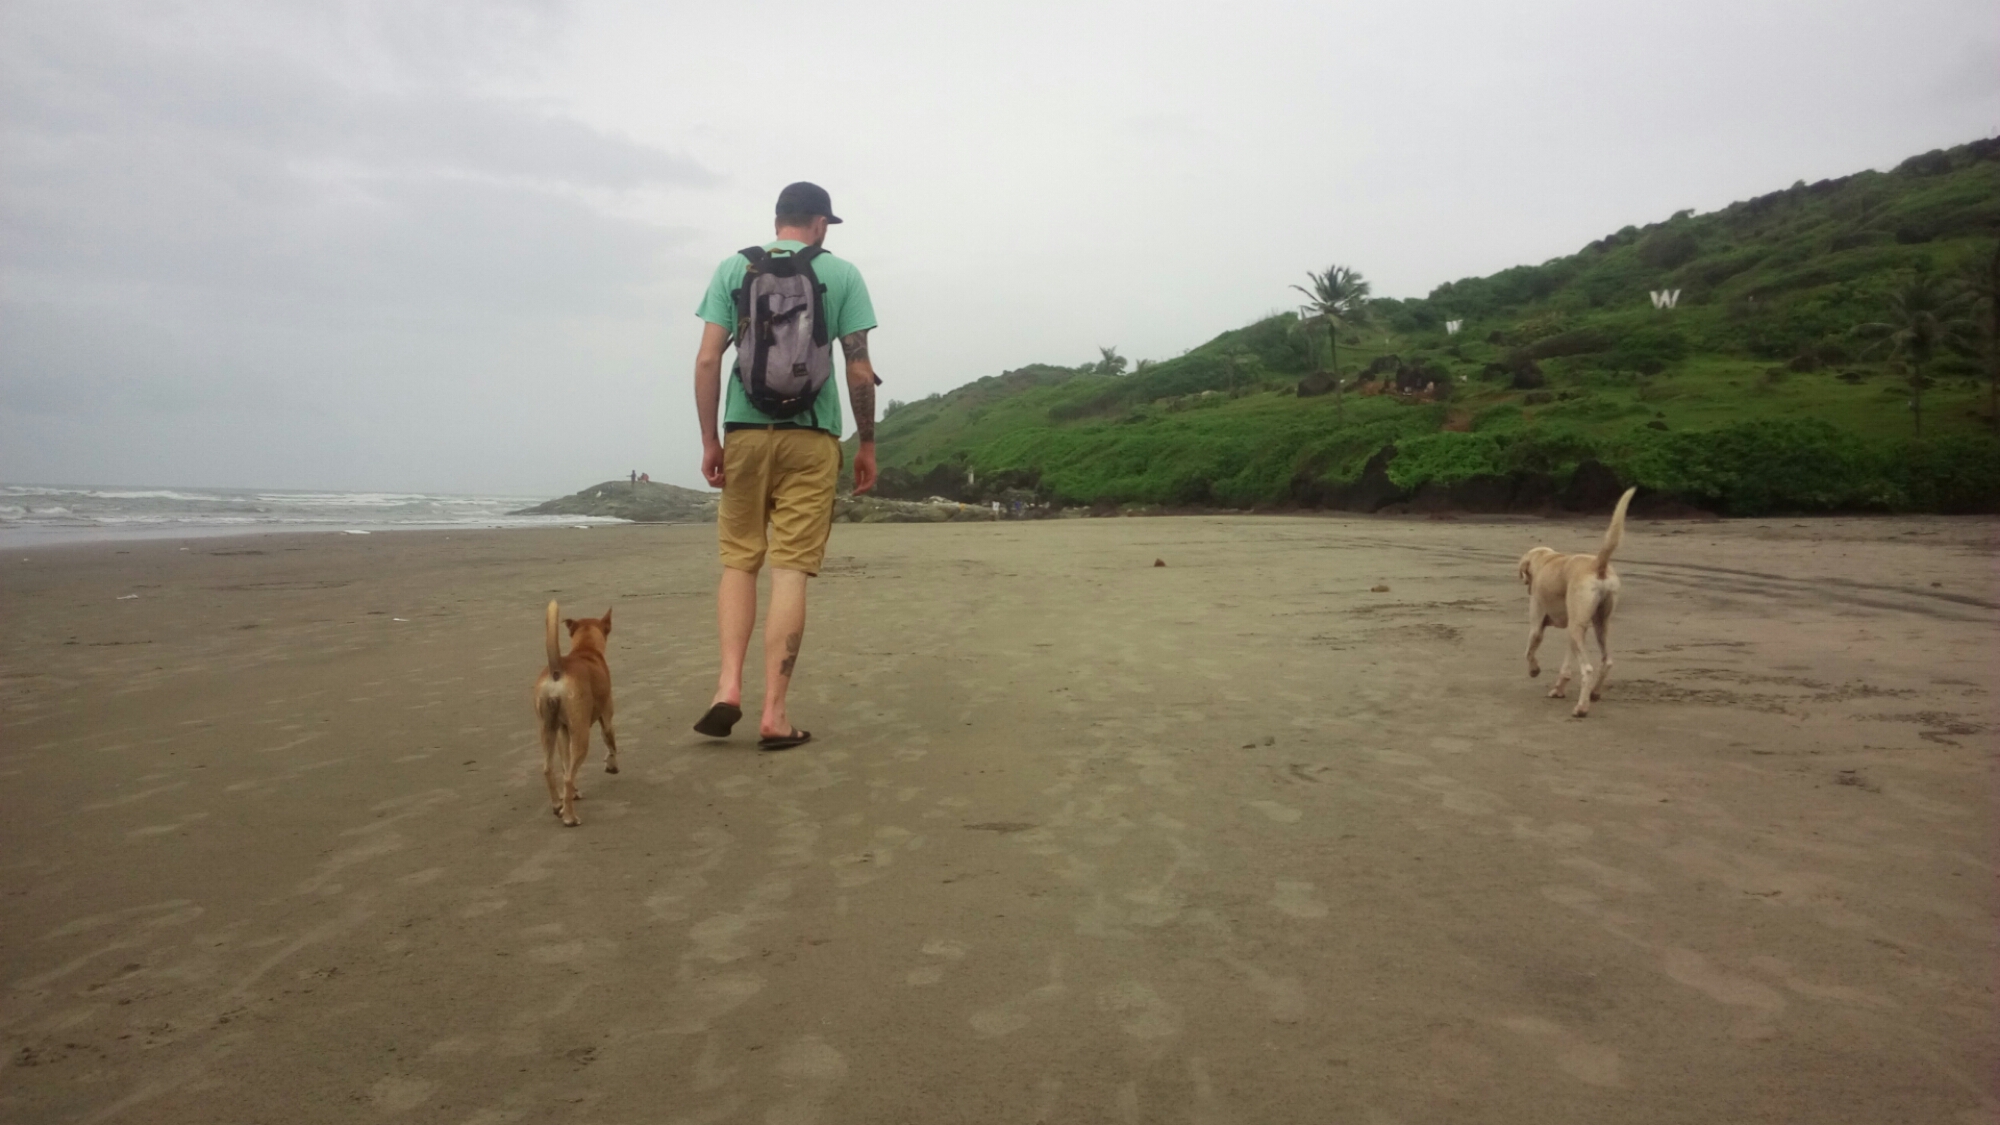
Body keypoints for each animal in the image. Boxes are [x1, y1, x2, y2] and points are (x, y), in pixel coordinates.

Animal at [533, 601, 618, 826]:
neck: (585, 649)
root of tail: (557, 670)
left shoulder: (564, 731)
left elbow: (565, 763)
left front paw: (572, 795)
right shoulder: (606, 718)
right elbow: (611, 745)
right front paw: (612, 766)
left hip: (547, 729)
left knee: (549, 769)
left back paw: (557, 805)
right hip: (581, 735)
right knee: (568, 777)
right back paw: (570, 818)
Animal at [1518, 487, 1636, 718]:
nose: (1527, 585)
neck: (1546, 559)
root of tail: (1599, 564)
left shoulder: (1537, 626)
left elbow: (1528, 652)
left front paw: (1534, 670)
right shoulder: (1575, 632)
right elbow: (1566, 667)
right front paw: (1558, 689)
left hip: (1577, 627)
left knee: (1587, 669)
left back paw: (1581, 708)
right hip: (1599, 625)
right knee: (1607, 661)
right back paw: (1594, 694)